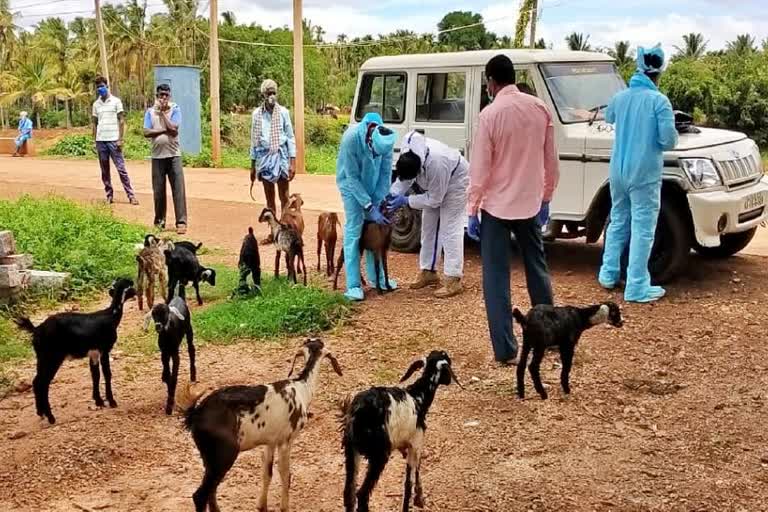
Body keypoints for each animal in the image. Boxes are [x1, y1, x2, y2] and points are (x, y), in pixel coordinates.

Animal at [12, 278, 136, 426]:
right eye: (130, 286)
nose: (137, 292)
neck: (110, 315)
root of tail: (37, 329)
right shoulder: (105, 350)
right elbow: (107, 374)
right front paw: (111, 401)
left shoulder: (93, 353)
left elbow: (95, 375)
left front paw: (99, 401)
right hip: (53, 357)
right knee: (43, 383)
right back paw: (51, 417)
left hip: (41, 357)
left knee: (36, 382)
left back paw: (40, 413)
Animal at [181, 338, 342, 510]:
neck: (302, 388)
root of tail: (196, 414)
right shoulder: (286, 441)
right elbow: (285, 475)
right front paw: (284, 507)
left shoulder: (270, 442)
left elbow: (267, 472)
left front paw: (261, 506)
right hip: (224, 454)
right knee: (200, 495)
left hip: (209, 457)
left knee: (211, 490)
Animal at [340, 350, 460, 512]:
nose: (448, 381)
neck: (418, 397)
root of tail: (357, 414)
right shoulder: (416, 443)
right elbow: (409, 481)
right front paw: (417, 499)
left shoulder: (404, 446)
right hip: (379, 455)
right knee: (362, 494)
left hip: (351, 451)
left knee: (349, 493)